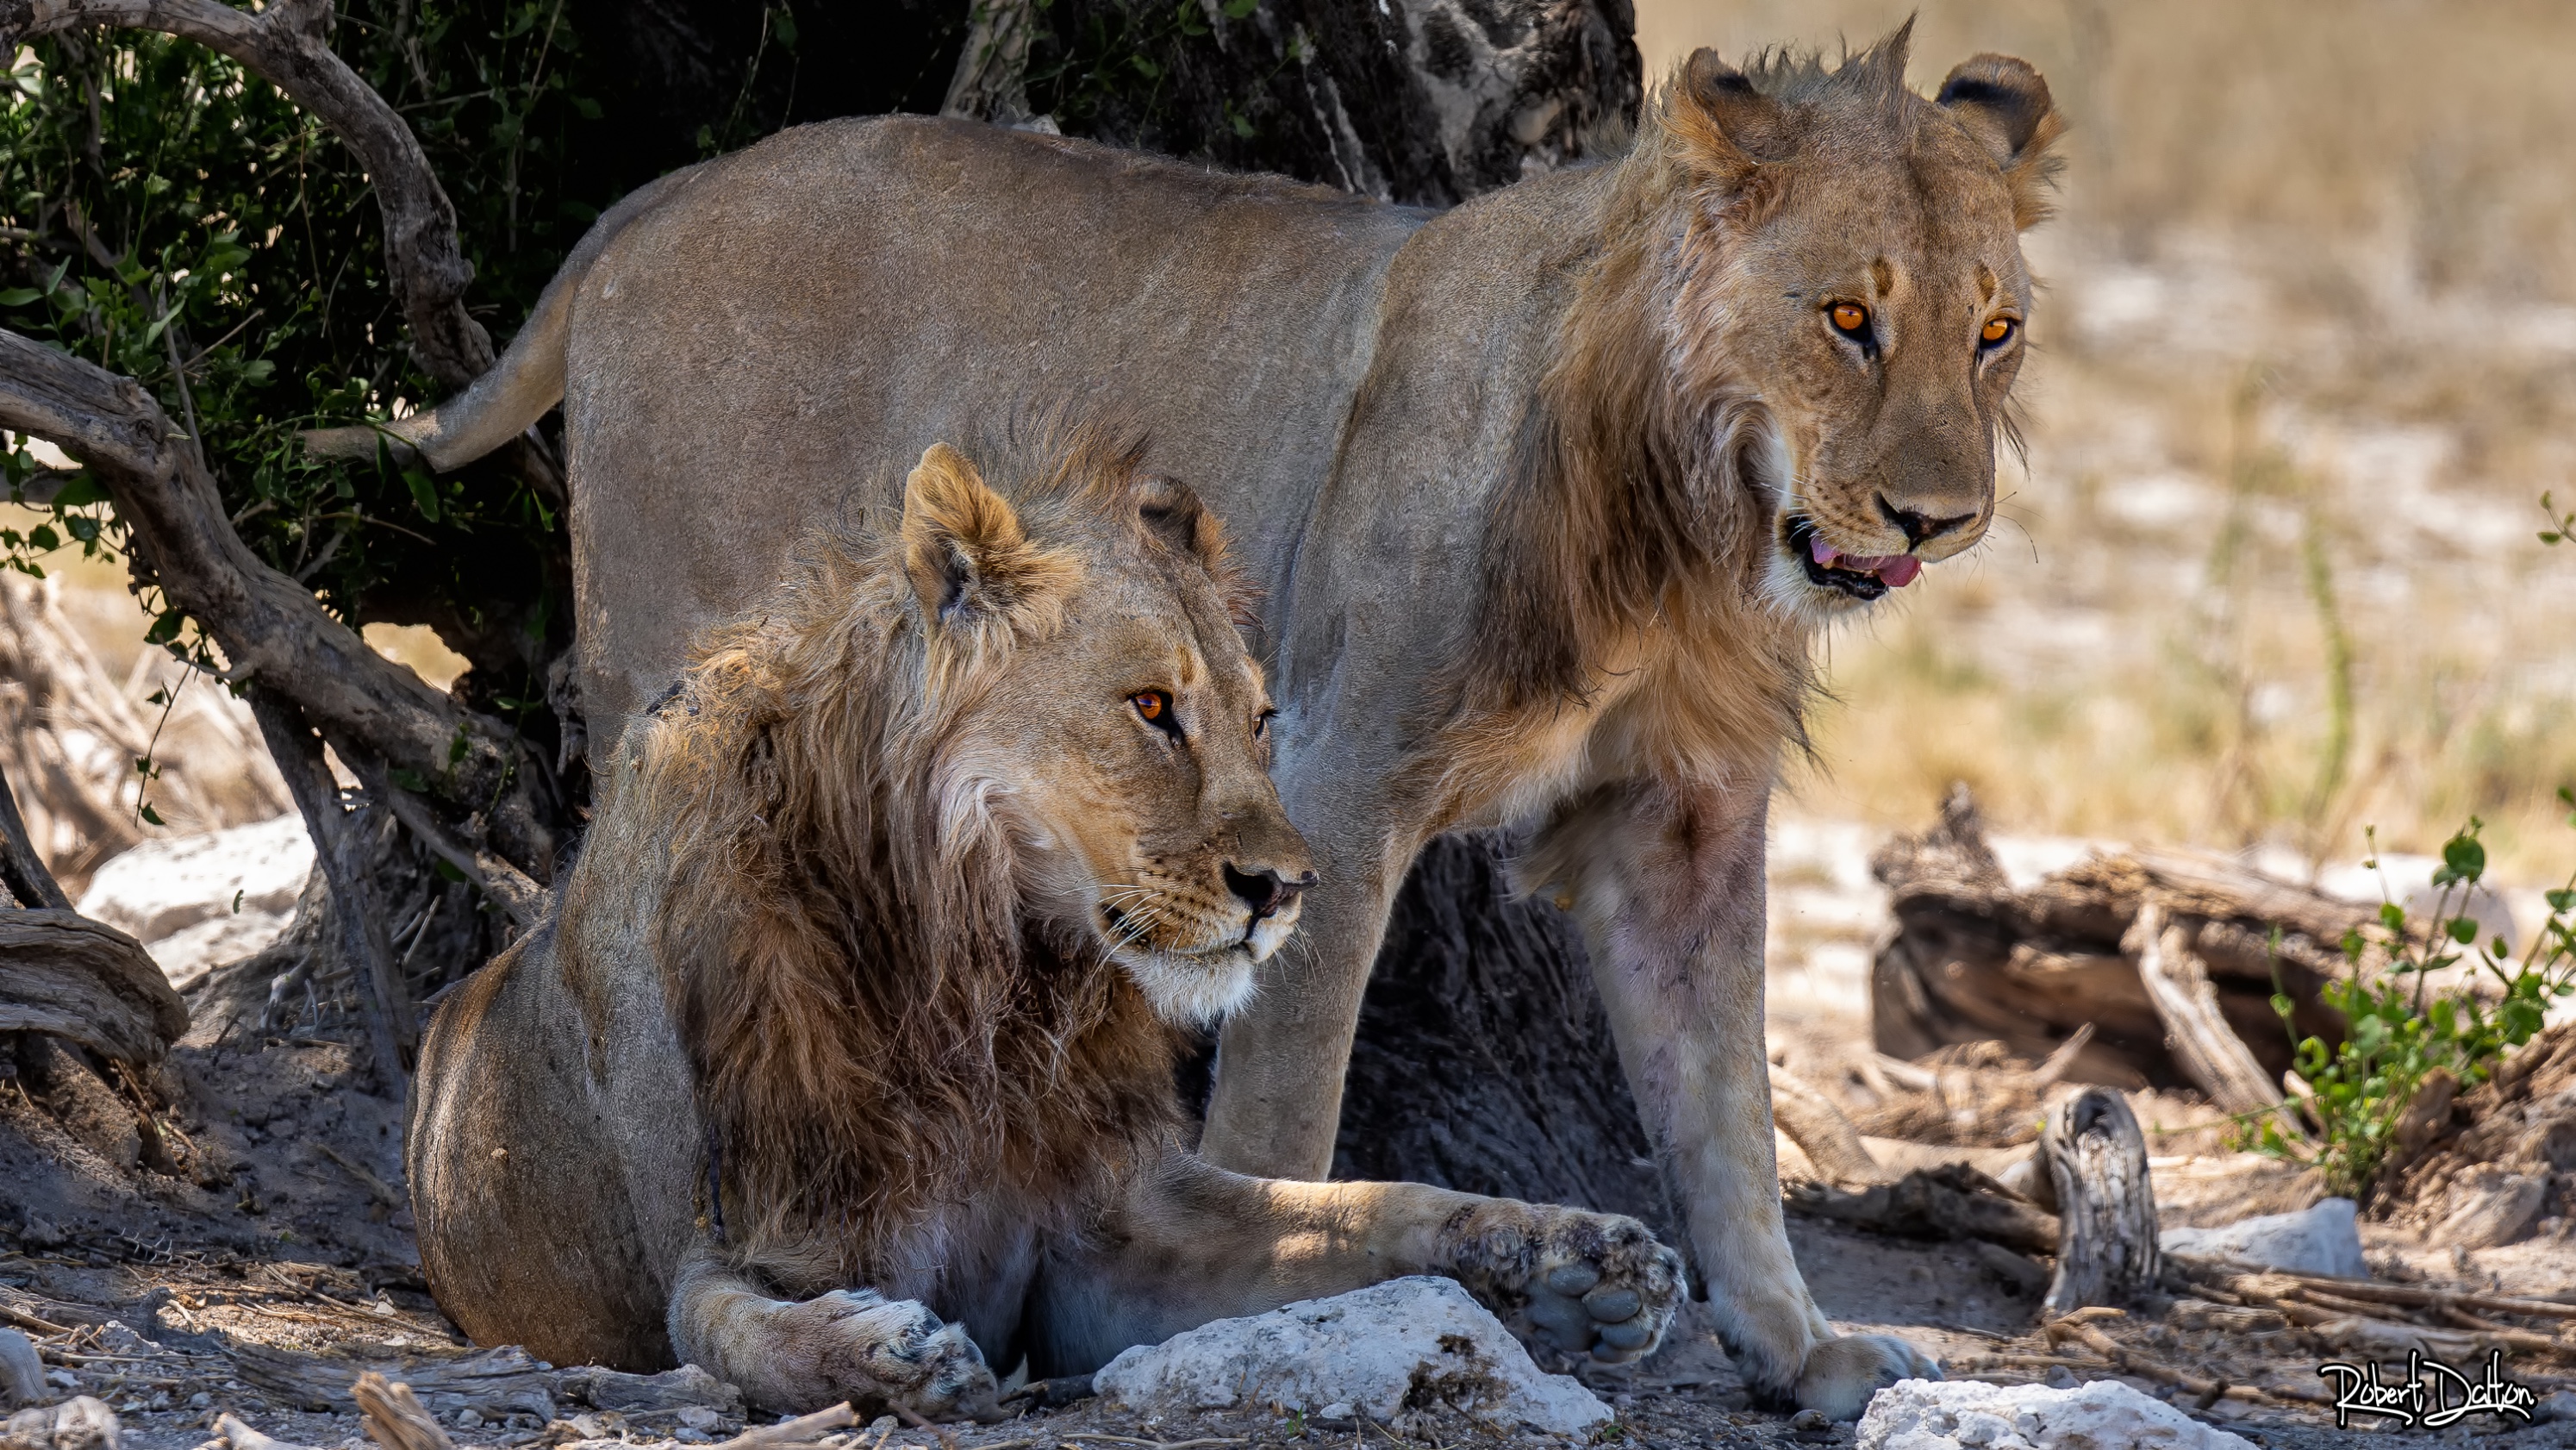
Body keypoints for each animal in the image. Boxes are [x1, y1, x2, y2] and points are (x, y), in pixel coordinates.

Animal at [405, 432, 1686, 1419]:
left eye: (1259, 718)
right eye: (1151, 706)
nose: (1286, 887)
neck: (989, 980)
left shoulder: (1104, 1238)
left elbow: (1366, 1208)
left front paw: (1576, 1254)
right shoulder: (735, 1233)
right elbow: (725, 1326)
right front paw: (888, 1351)